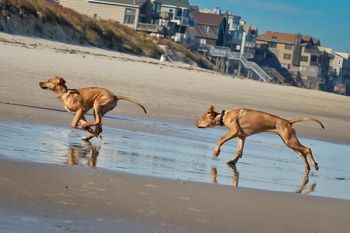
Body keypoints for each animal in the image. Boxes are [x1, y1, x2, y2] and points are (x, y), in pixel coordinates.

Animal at [196, 105, 324, 173]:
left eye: (202, 117)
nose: (195, 122)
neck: (225, 115)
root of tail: (287, 121)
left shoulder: (234, 132)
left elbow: (220, 139)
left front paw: (216, 151)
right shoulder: (241, 136)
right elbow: (239, 152)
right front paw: (233, 162)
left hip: (289, 141)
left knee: (307, 150)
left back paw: (314, 165)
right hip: (289, 141)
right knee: (302, 153)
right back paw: (307, 167)